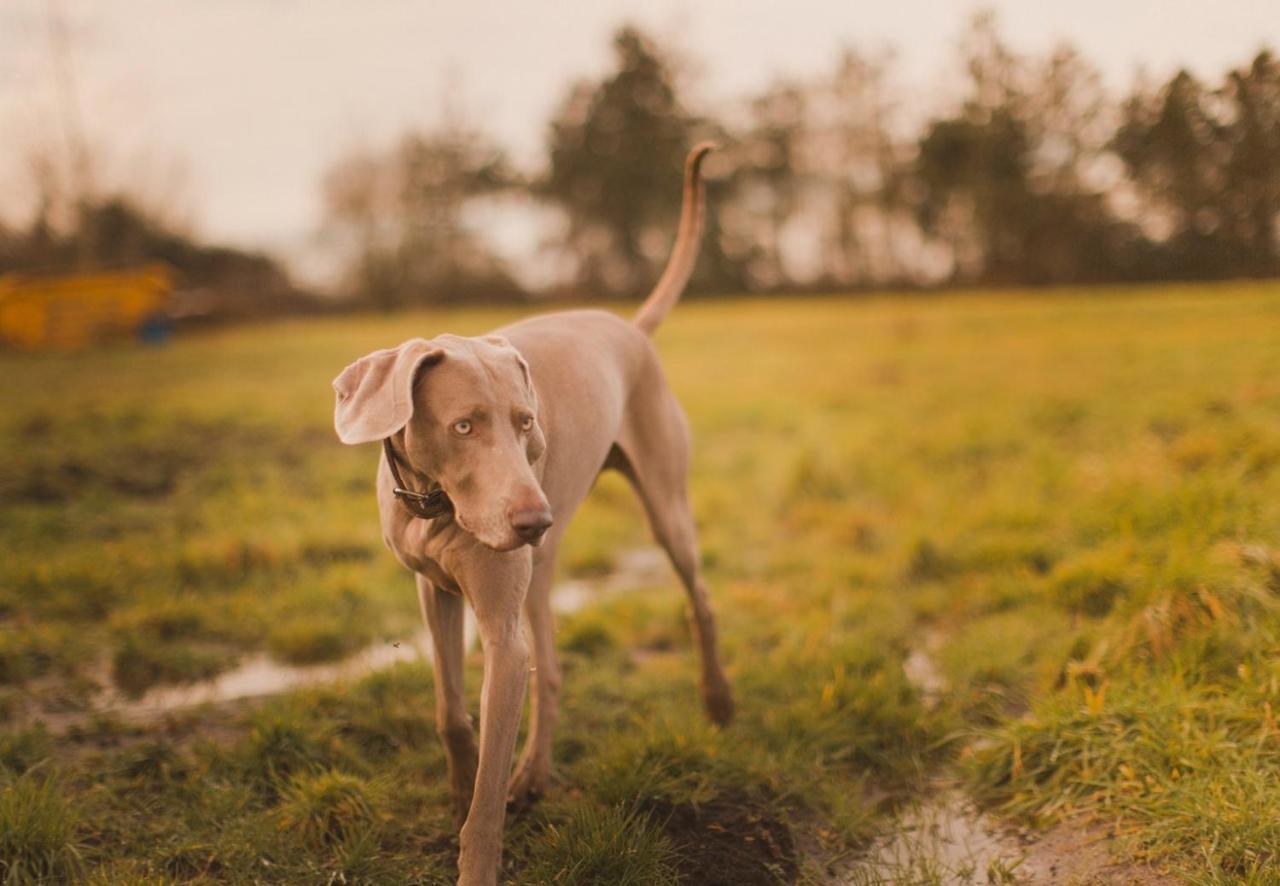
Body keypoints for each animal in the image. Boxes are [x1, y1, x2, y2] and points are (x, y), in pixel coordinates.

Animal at [332, 145, 732, 886]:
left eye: (525, 422)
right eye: (463, 425)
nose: (532, 521)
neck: (435, 505)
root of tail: (627, 326)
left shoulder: (501, 638)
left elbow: (486, 798)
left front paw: (478, 851)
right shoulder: (433, 590)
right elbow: (450, 712)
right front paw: (457, 788)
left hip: (664, 509)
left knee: (700, 597)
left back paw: (717, 702)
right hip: (540, 573)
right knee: (551, 667)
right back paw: (536, 774)